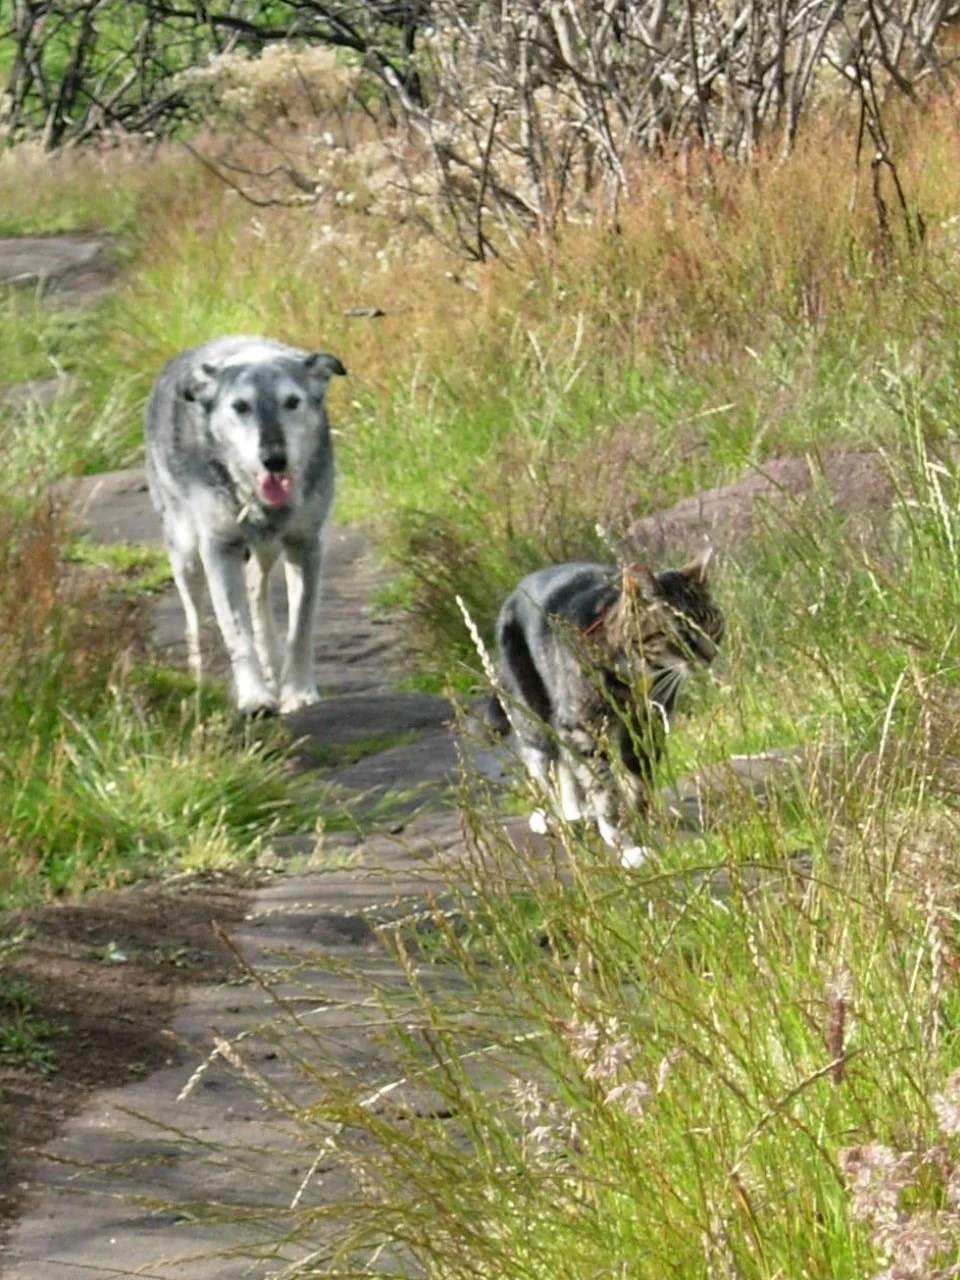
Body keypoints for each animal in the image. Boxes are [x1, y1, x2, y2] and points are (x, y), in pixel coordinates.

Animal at [145, 335, 346, 716]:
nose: (274, 459)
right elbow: (236, 631)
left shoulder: (305, 544)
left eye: (292, 402)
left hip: (265, 551)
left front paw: (298, 692)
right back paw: (200, 682)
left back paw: (273, 666)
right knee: (194, 621)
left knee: (257, 593)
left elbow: (300, 627)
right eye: (240, 406)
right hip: (187, 555)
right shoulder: (219, 548)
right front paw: (254, 697)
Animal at [489, 552, 723, 866]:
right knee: (540, 759)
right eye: (682, 635)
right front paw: (625, 843)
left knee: (563, 761)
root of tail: (516, 589)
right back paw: (551, 816)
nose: (711, 656)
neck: (635, 670)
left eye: (714, 626)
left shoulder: (645, 723)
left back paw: (576, 810)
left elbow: (638, 780)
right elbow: (603, 788)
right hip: (533, 709)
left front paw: (641, 821)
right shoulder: (580, 727)